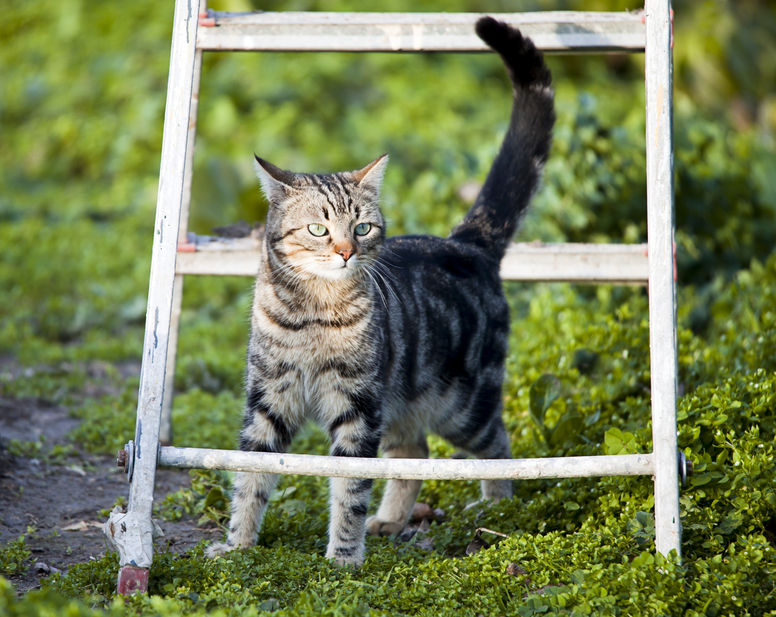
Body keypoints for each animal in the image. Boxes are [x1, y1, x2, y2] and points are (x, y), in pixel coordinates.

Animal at [206, 16, 556, 564]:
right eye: (319, 230)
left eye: (363, 227)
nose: (347, 251)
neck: (313, 313)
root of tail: (467, 241)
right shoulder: (268, 397)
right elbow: (251, 475)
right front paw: (238, 545)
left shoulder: (357, 407)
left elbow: (349, 487)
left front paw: (343, 558)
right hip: (400, 403)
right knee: (414, 453)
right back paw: (392, 520)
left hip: (463, 408)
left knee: (497, 444)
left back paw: (497, 506)